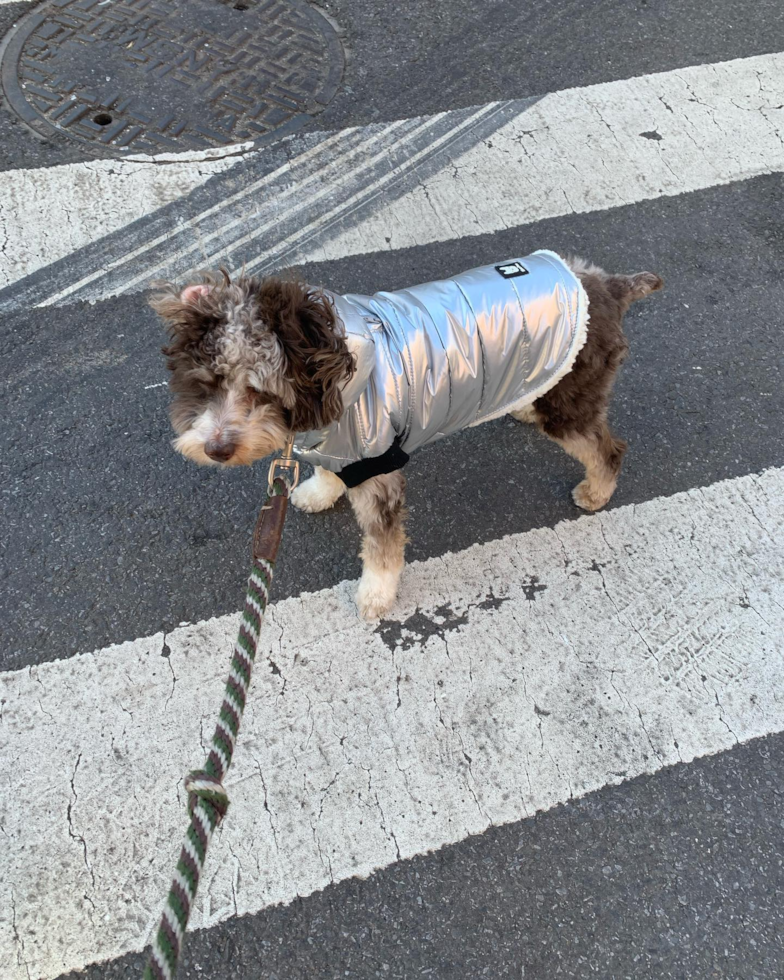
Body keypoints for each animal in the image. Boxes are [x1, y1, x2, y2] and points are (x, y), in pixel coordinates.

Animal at [152, 253, 660, 620]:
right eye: (207, 384)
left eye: (260, 389)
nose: (217, 449)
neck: (341, 374)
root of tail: (607, 286)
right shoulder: (343, 447)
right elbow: (330, 475)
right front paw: (319, 492)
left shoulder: (376, 464)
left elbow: (382, 544)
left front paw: (375, 595)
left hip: (572, 403)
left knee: (608, 448)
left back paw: (597, 491)